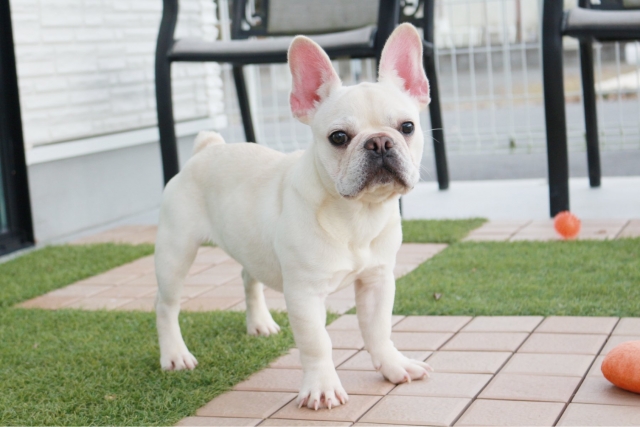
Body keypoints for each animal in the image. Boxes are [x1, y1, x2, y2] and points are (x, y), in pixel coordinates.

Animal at [155, 23, 432, 410]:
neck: (357, 213)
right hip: (175, 252)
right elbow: (317, 343)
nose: (379, 142)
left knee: (248, 277)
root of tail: (205, 150)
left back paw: (259, 323)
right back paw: (175, 355)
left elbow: (378, 329)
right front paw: (322, 387)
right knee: (166, 306)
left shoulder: (377, 280)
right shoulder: (304, 293)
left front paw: (393, 366)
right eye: (338, 137)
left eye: (407, 127)